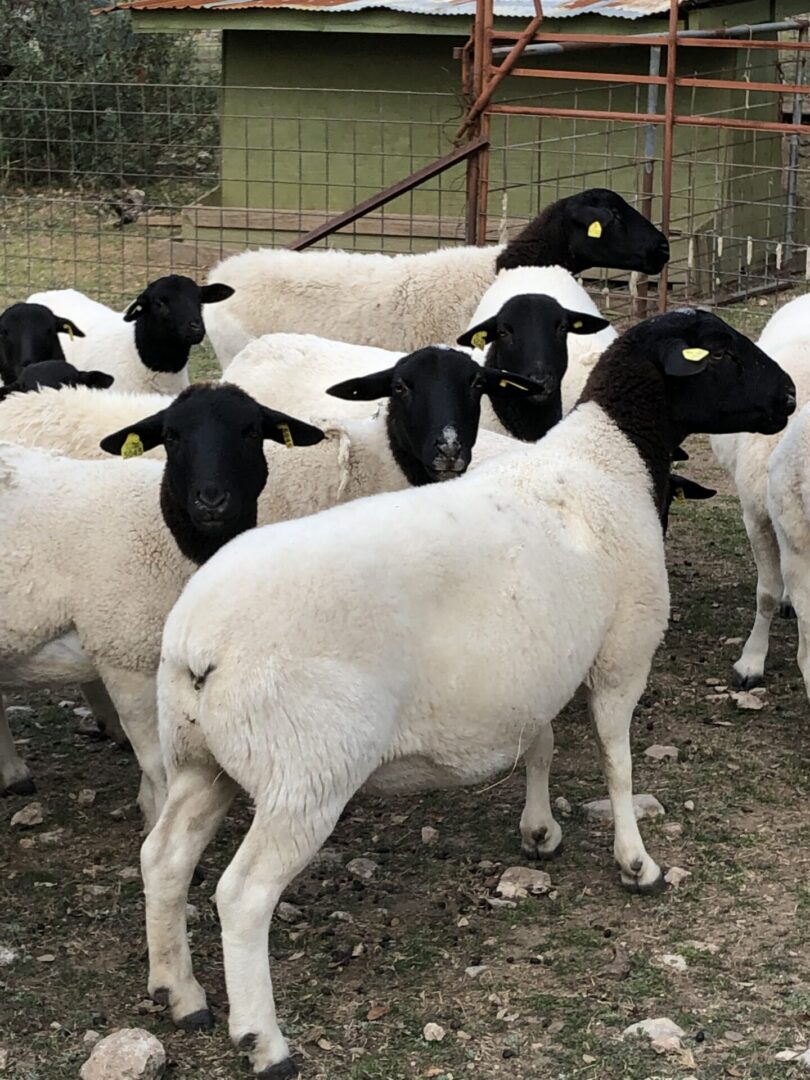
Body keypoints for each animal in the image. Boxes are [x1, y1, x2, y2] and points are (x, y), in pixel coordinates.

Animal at [0, 385, 325, 817]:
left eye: (252, 431)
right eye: (171, 436)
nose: (212, 501)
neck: (167, 536)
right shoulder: (125, 655)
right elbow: (159, 770)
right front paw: (155, 818)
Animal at [140, 309, 794, 1077]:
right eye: (716, 352)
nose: (788, 396)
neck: (611, 459)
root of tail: (197, 640)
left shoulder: (537, 664)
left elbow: (541, 742)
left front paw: (540, 833)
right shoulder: (623, 649)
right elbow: (617, 761)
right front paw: (638, 864)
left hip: (200, 758)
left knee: (164, 857)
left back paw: (179, 992)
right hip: (306, 773)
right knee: (242, 896)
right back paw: (262, 1039)